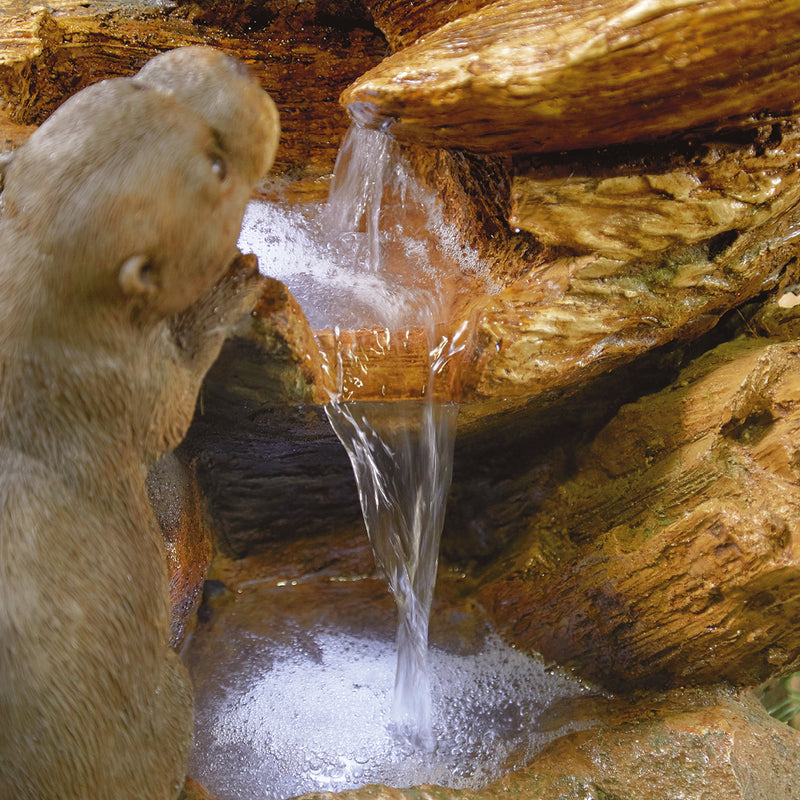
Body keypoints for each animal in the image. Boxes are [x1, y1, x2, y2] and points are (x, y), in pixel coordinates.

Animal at [0, 48, 278, 800]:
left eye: (132, 79)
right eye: (215, 167)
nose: (235, 65)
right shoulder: (119, 383)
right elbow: (175, 409)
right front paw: (230, 288)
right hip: (163, 706)